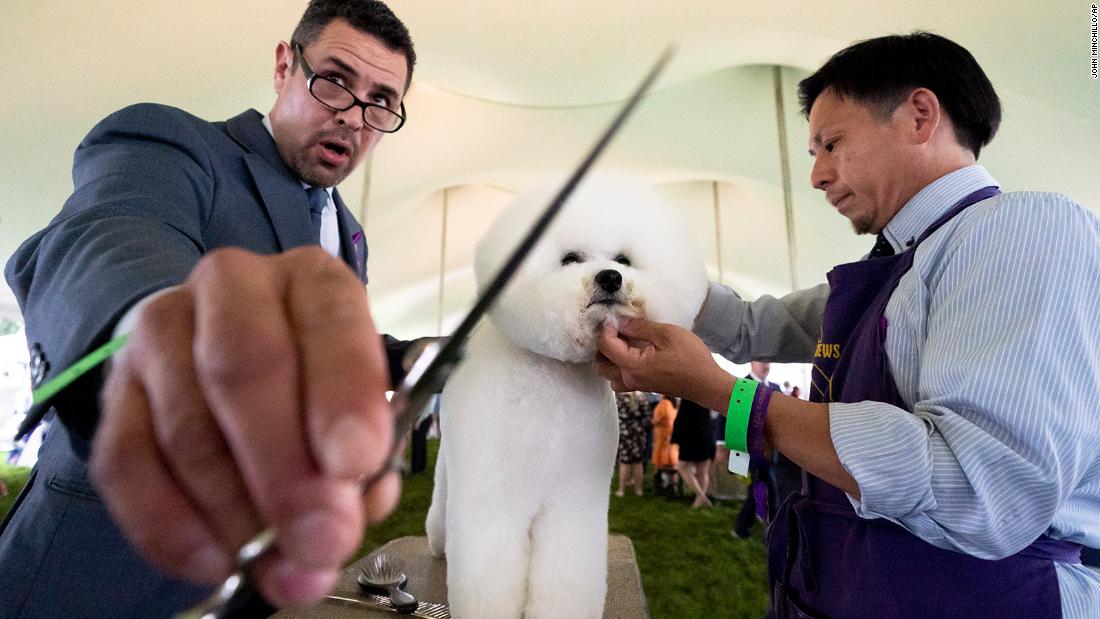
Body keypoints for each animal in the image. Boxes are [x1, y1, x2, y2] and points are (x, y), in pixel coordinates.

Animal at [424, 174, 708, 619]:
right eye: (571, 258)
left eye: (623, 259)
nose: (610, 278)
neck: (551, 380)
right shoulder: (493, 500)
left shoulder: (574, 500)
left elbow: (566, 569)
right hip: (454, 473)